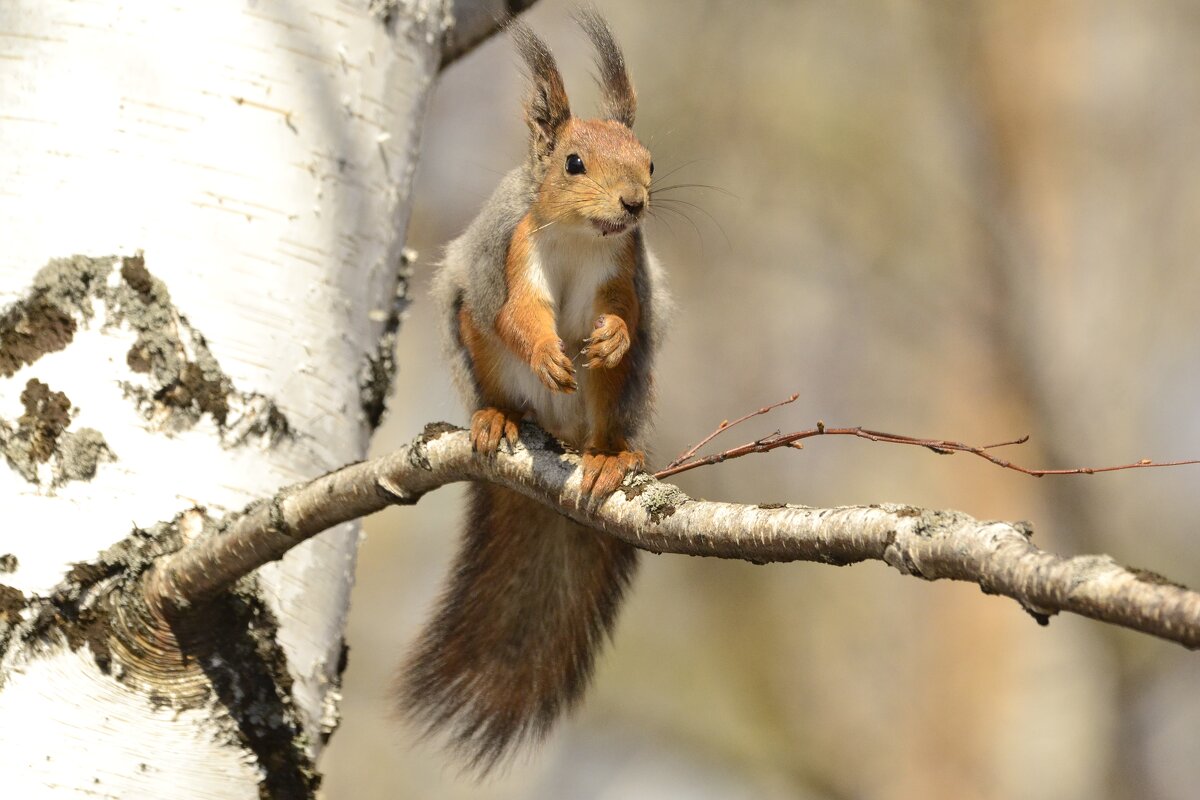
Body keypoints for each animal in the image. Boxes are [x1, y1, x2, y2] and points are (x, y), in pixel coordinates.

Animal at [400, 10, 667, 777]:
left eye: (650, 162)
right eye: (572, 162)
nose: (634, 204)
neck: (579, 237)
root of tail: (561, 437)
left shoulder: (623, 266)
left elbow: (624, 314)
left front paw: (609, 336)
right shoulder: (514, 251)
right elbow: (520, 314)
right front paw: (547, 350)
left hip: (614, 400)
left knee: (608, 415)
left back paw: (610, 456)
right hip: (476, 344)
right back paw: (499, 419)